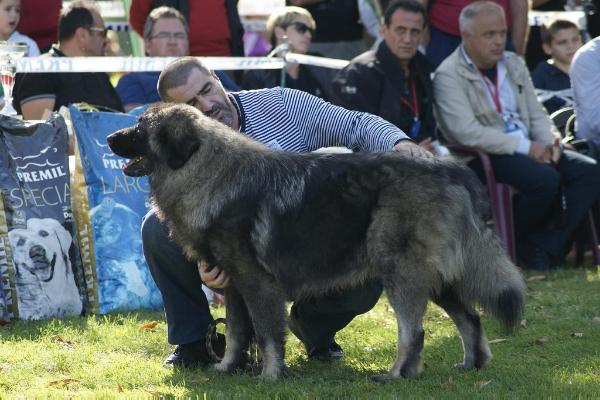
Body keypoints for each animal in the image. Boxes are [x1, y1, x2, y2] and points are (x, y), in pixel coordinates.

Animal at [108, 103, 524, 378]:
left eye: (140, 128)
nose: (110, 137)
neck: (209, 172)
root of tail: (452, 171)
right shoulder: (235, 285)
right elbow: (239, 333)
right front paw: (226, 367)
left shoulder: (257, 284)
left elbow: (267, 334)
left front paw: (269, 375)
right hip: (438, 278)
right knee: (469, 317)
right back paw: (470, 364)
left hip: (402, 272)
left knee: (414, 331)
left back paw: (395, 375)